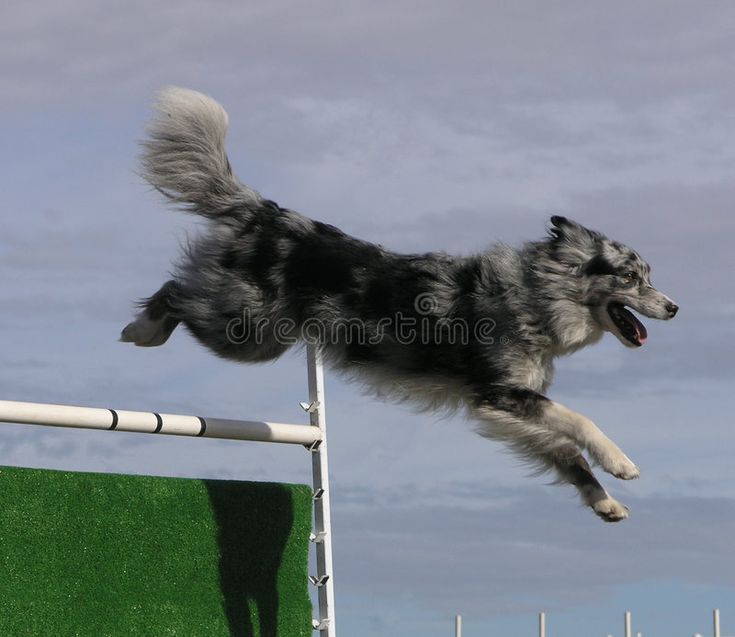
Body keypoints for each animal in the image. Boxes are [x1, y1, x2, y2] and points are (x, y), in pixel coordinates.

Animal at [122, 85, 680, 520]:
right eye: (632, 278)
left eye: (649, 277)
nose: (675, 308)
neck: (534, 295)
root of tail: (267, 214)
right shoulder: (500, 391)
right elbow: (580, 421)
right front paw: (620, 463)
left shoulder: (500, 406)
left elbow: (563, 450)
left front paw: (603, 502)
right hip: (246, 331)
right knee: (174, 293)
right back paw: (140, 331)